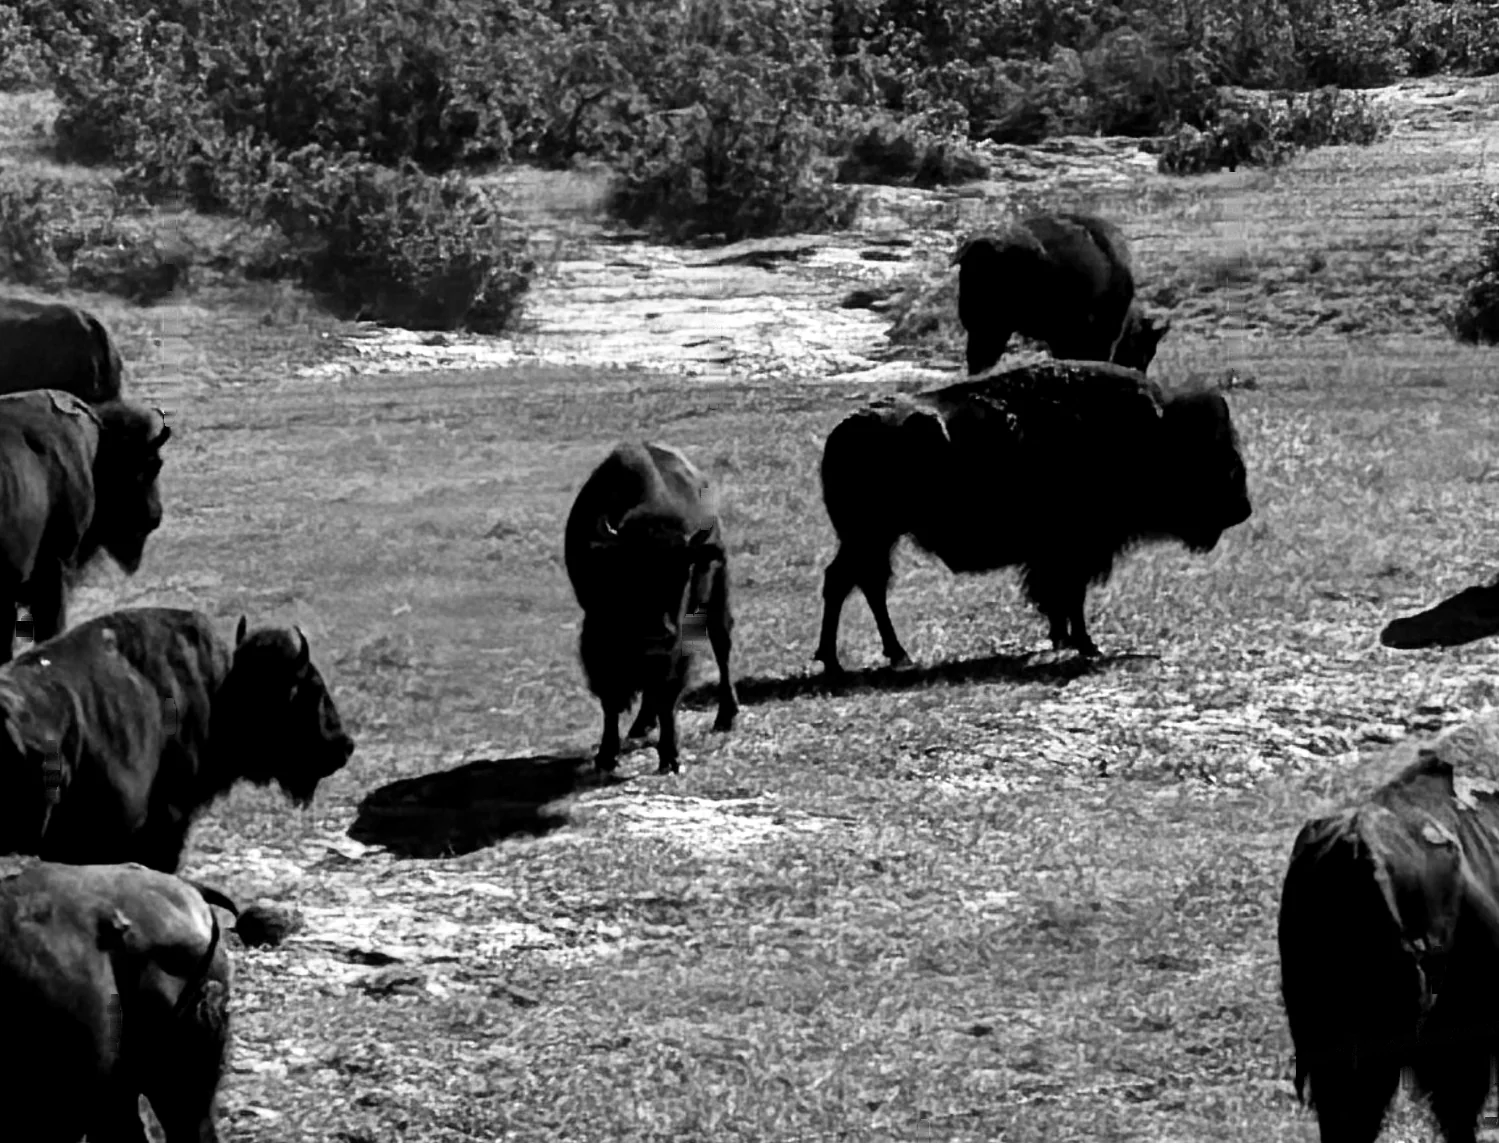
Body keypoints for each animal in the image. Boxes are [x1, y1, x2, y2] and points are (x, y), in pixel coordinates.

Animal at [564, 442, 739, 775]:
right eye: (628, 574)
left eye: (684, 572)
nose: (657, 635)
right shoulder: (597, 634)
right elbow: (611, 696)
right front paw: (606, 756)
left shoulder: (676, 646)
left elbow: (666, 696)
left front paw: (670, 756)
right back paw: (641, 725)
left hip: (718, 592)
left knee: (721, 646)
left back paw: (726, 716)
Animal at [814, 360, 1252, 671]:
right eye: (1213, 456)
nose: (1243, 509)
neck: (1152, 435)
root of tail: (840, 434)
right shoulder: (1075, 550)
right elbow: (1069, 596)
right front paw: (1086, 645)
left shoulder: (1063, 554)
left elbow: (1061, 598)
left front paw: (1064, 639)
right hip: (869, 535)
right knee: (849, 583)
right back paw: (847, 660)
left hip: (872, 537)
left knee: (861, 583)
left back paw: (883, 655)